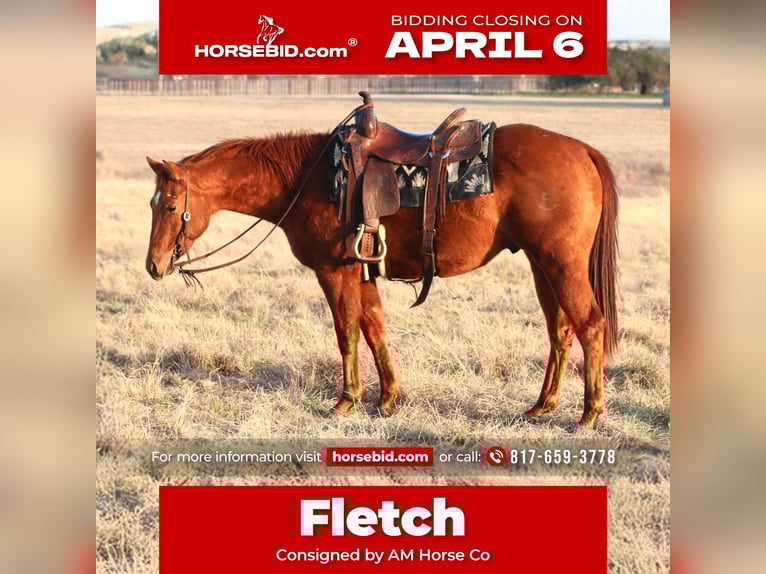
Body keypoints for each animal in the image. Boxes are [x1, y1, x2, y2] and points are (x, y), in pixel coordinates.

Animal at [144, 104, 619, 429]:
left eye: (168, 205)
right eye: (153, 203)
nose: (154, 264)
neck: (308, 178)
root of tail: (583, 151)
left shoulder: (334, 272)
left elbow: (347, 333)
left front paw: (346, 400)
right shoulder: (363, 271)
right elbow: (374, 328)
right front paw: (388, 399)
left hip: (562, 265)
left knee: (591, 324)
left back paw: (589, 414)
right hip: (543, 266)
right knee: (560, 329)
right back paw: (543, 405)